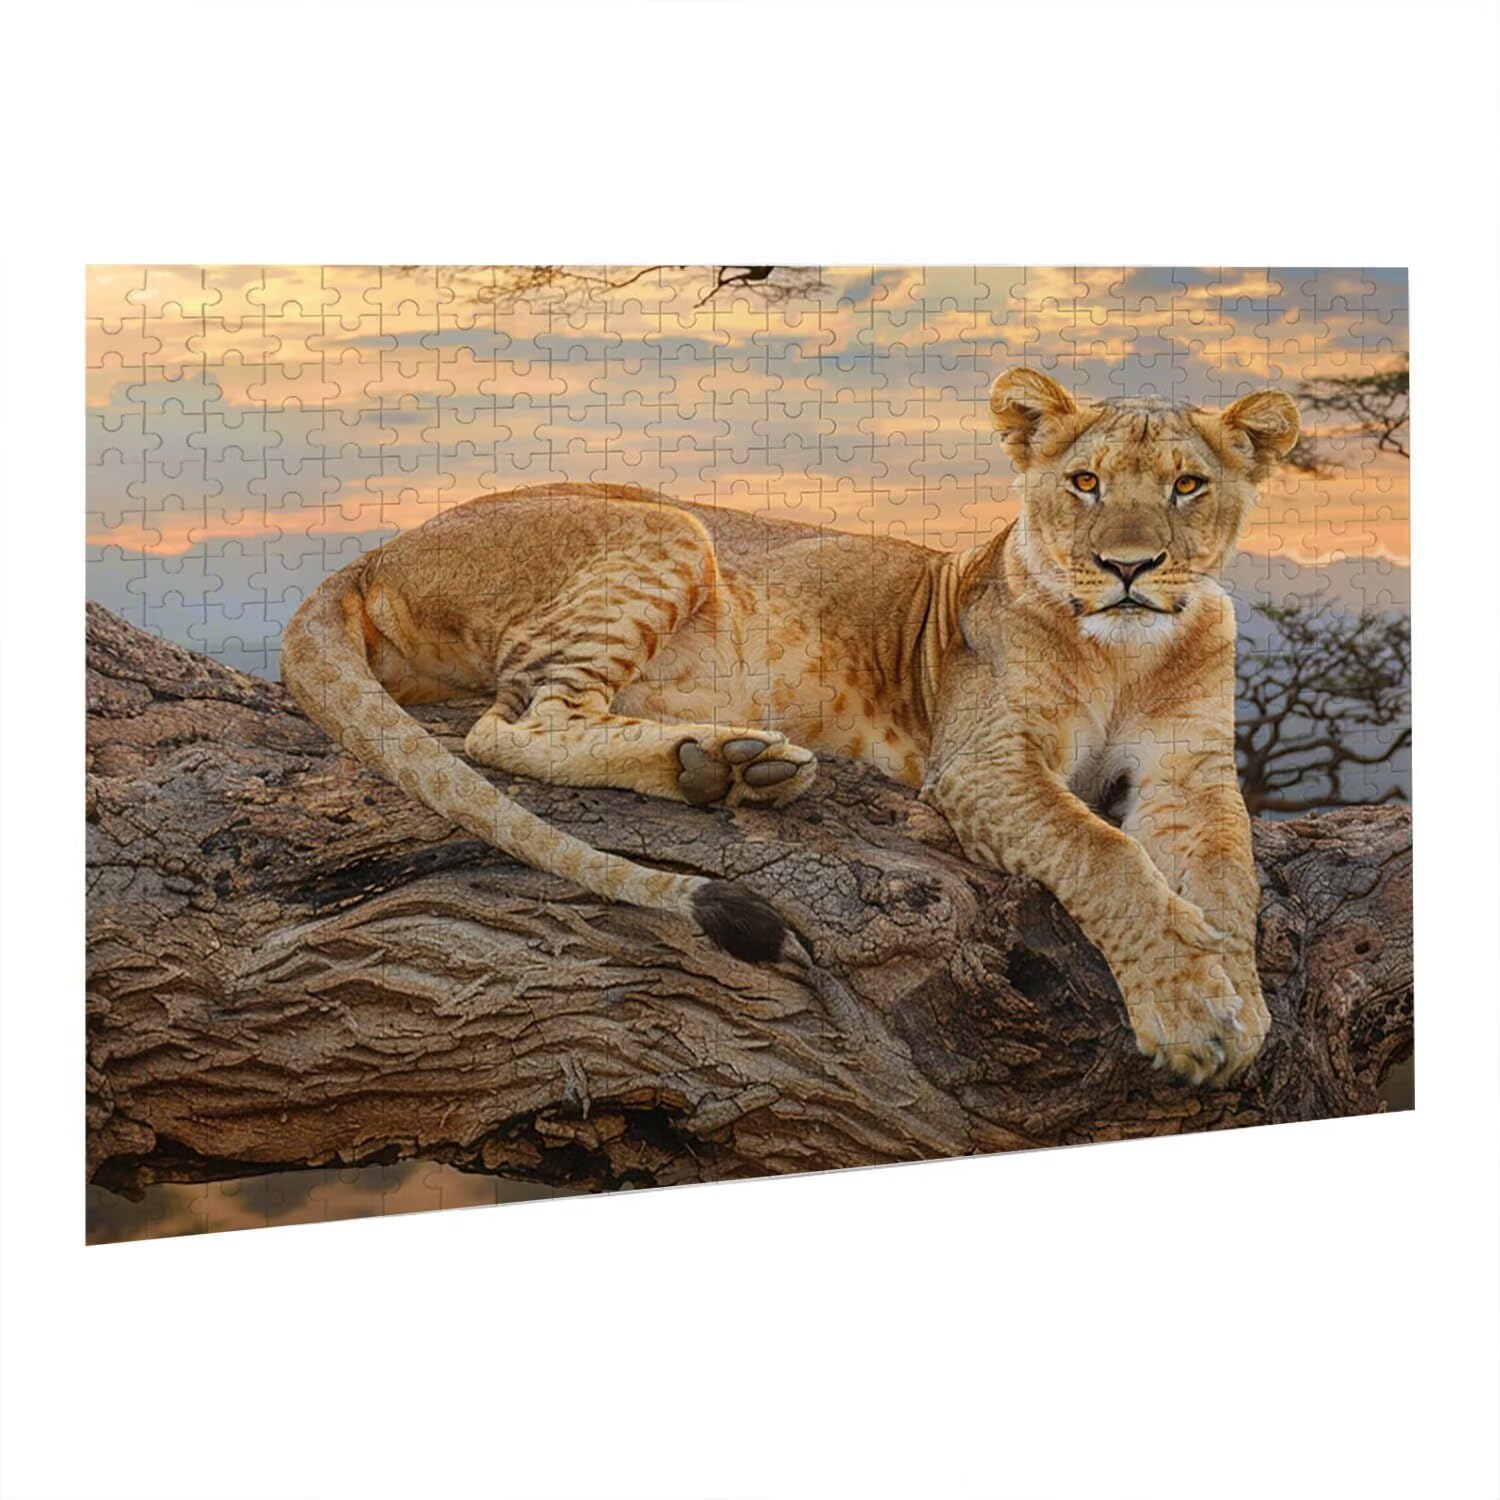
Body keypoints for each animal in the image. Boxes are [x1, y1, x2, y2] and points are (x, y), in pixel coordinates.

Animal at [281, 366, 1299, 1085]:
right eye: (1084, 481)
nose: (1129, 568)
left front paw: (1236, 1000)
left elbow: (1227, 875)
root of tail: (378, 548)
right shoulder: (982, 763)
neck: (1127, 652)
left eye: (1188, 486)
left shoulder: (1188, 772)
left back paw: (724, 762)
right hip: (668, 529)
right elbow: (1104, 854)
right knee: (508, 727)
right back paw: (721, 766)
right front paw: (1190, 1010)